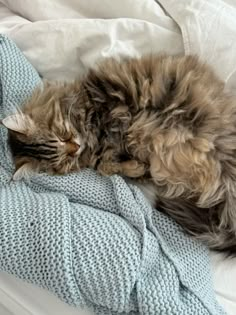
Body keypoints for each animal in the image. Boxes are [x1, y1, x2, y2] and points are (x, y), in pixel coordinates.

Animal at [2, 54, 236, 256]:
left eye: (61, 135)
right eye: (62, 161)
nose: (74, 148)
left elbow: (107, 161)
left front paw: (131, 165)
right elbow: (106, 166)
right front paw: (133, 167)